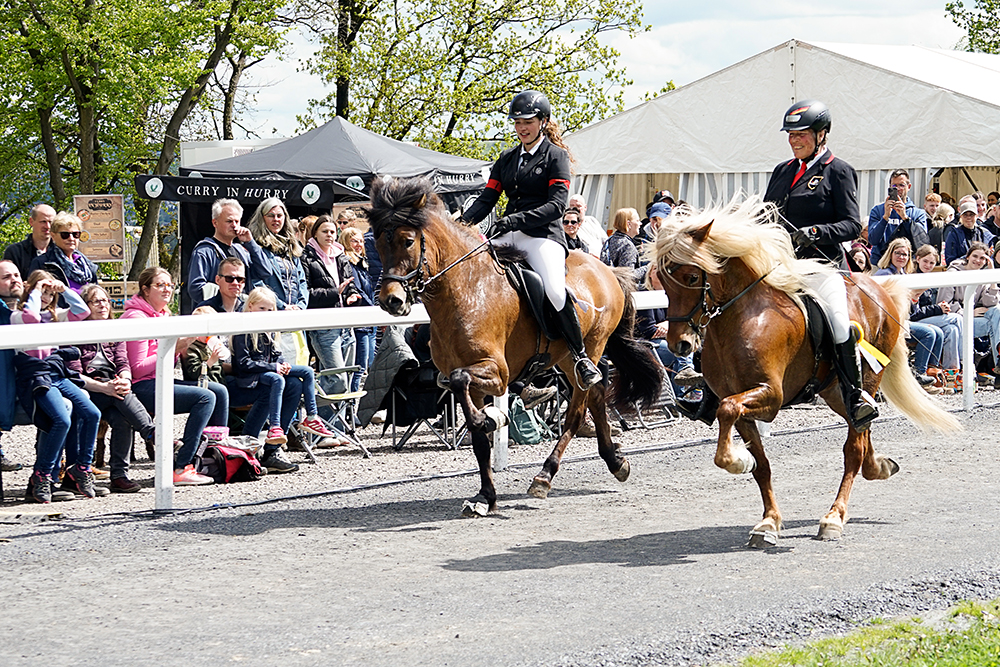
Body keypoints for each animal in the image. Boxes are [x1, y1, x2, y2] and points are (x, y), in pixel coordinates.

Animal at [370, 177, 664, 516]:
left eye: (407, 241)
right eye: (377, 243)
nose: (391, 301)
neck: (465, 290)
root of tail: (605, 268)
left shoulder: (498, 373)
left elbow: (462, 383)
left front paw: (492, 419)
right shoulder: (472, 381)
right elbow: (476, 435)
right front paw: (485, 497)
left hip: (591, 347)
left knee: (577, 410)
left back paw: (545, 475)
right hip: (565, 357)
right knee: (597, 394)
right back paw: (615, 461)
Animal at [648, 197, 960, 548]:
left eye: (691, 277)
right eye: (662, 280)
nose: (680, 344)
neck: (742, 318)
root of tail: (878, 289)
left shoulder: (770, 396)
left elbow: (728, 412)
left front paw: (738, 461)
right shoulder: (741, 403)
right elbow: (760, 463)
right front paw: (768, 521)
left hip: (865, 379)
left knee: (854, 447)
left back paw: (834, 517)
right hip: (835, 391)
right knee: (861, 428)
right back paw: (878, 466)